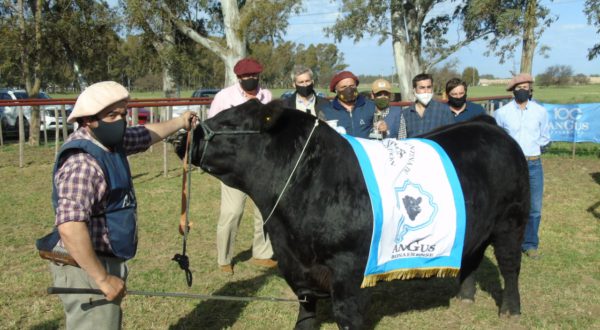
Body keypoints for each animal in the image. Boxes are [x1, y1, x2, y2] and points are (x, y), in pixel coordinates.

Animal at [175, 99, 528, 328]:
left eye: (230, 122)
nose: (184, 137)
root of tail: (486, 123)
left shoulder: (350, 271)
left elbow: (348, 316)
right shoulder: (297, 268)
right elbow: (306, 314)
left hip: (512, 221)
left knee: (510, 265)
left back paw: (510, 310)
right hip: (477, 224)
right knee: (473, 255)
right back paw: (464, 297)